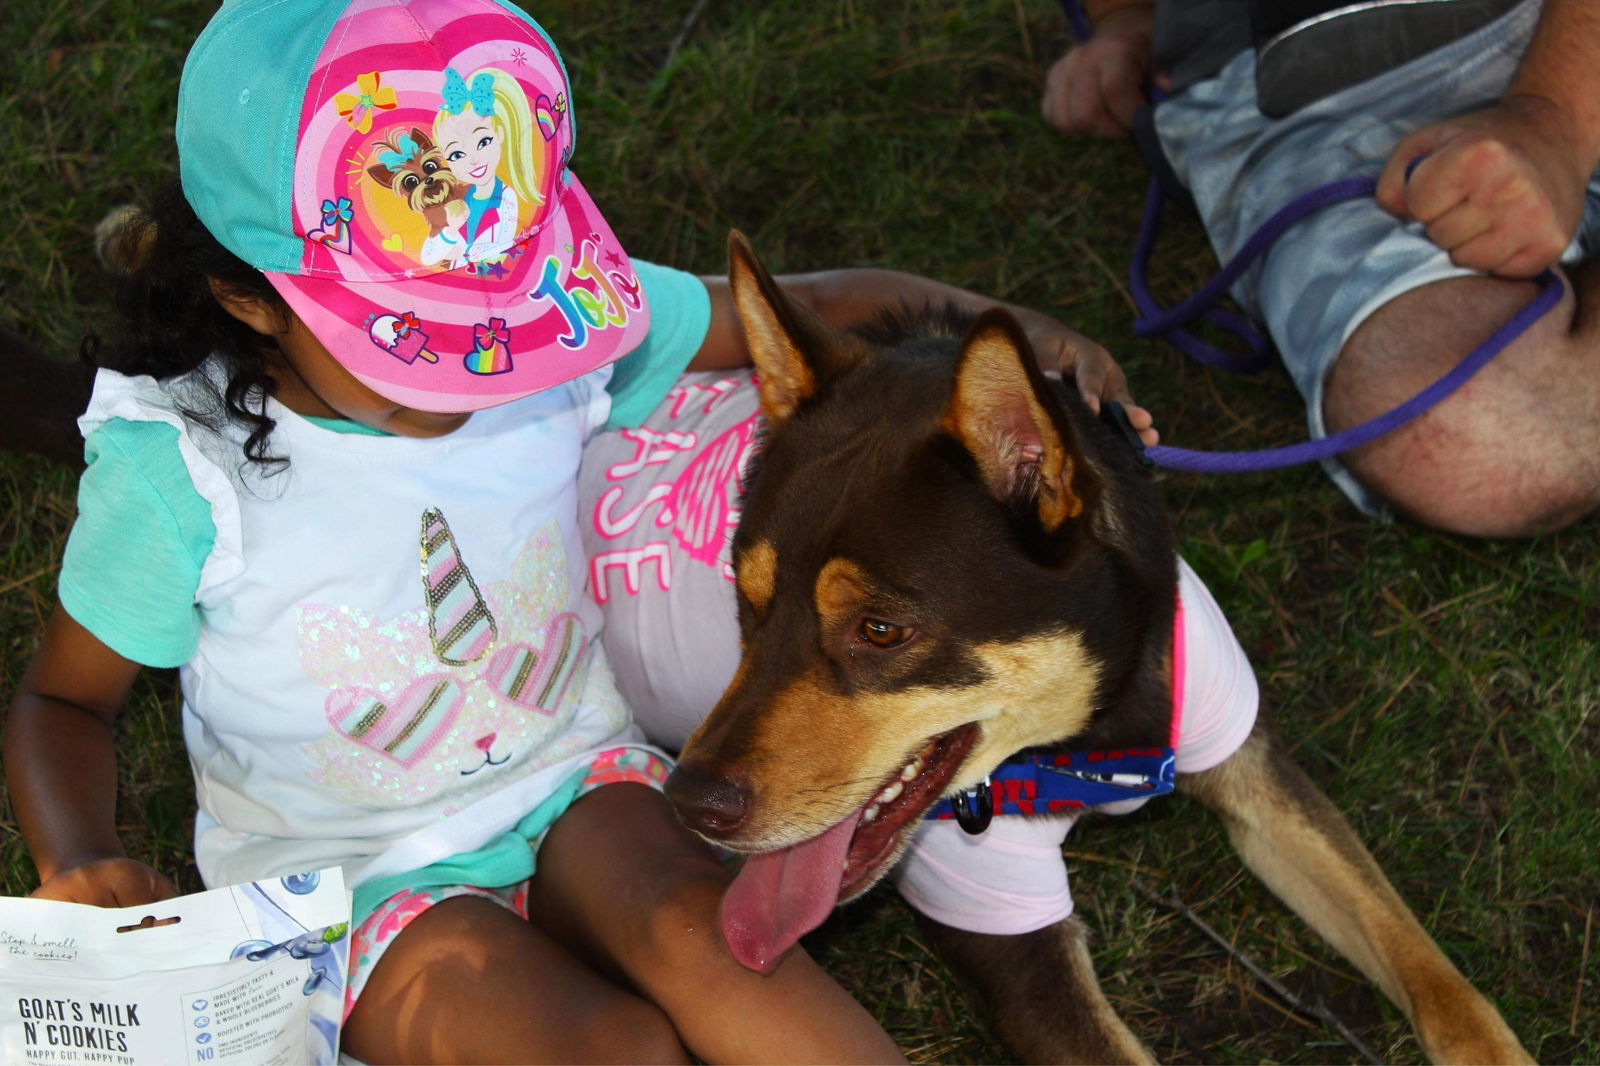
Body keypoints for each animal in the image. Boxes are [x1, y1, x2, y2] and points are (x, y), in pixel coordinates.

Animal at [659, 235, 1523, 1062]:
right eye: (746, 599)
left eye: (880, 630)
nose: (690, 802)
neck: (1096, 727)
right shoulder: (1020, 947)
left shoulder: (1255, 772)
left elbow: (1433, 974)